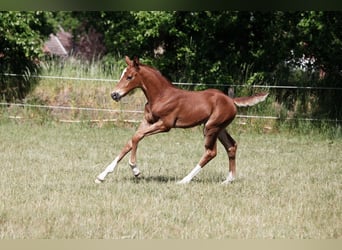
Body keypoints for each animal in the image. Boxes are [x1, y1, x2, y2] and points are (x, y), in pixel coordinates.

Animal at [95, 56, 268, 184]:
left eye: (129, 77)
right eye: (122, 75)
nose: (114, 95)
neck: (161, 96)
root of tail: (231, 100)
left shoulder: (165, 124)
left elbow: (137, 137)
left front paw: (135, 169)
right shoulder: (147, 121)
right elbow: (130, 142)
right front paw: (102, 176)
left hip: (210, 127)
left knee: (211, 152)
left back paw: (184, 180)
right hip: (219, 128)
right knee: (231, 146)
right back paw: (228, 180)